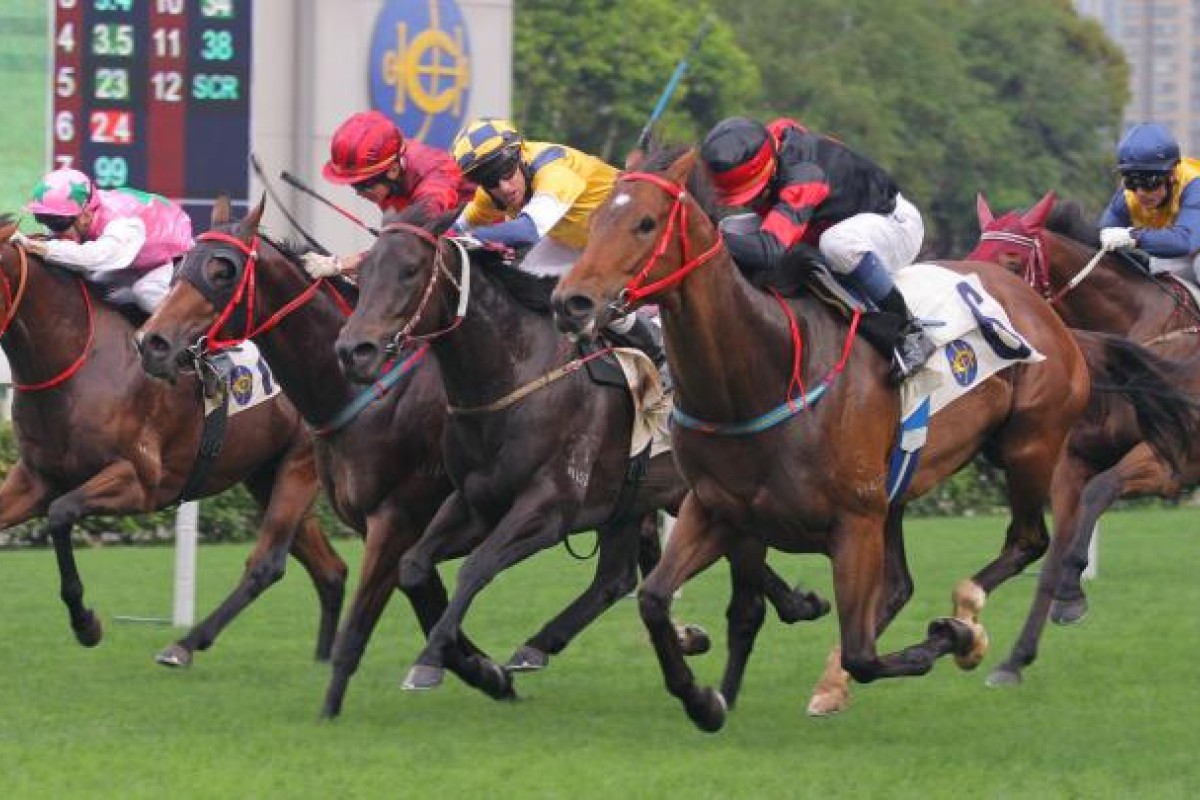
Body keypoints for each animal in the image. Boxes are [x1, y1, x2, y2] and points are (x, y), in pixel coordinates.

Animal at [0, 212, 348, 662]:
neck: (78, 358)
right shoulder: (34, 477)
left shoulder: (141, 481)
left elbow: (60, 514)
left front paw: (86, 624)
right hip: (267, 474)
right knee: (330, 571)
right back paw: (325, 661)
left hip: (299, 465)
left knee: (269, 562)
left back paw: (186, 644)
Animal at [333, 205, 830, 695]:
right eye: (365, 269)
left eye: (410, 270)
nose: (353, 350)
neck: (514, 373)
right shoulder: (476, 502)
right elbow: (414, 566)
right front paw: (476, 667)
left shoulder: (549, 507)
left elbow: (476, 567)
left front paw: (434, 660)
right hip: (637, 499)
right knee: (615, 578)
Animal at [552, 145, 1099, 734]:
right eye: (595, 220)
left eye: (646, 223)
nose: (571, 302)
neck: (764, 373)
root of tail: (1030, 297)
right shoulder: (716, 510)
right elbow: (655, 599)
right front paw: (703, 699)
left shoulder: (853, 521)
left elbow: (864, 654)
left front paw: (956, 635)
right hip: (896, 496)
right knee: (902, 586)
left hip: (1028, 443)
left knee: (1027, 541)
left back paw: (965, 622)